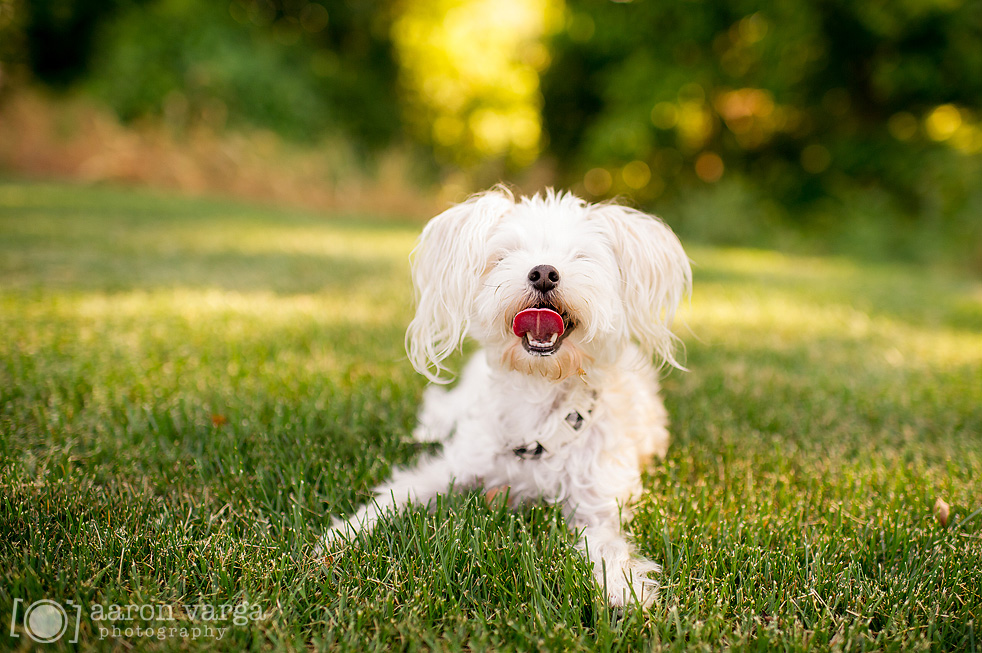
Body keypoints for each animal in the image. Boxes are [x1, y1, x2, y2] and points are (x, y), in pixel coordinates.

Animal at [320, 185, 692, 608]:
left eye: (583, 258)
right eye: (504, 256)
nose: (544, 272)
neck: (537, 395)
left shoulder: (597, 504)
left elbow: (608, 547)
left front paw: (621, 590)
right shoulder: (454, 466)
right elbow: (401, 493)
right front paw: (341, 534)